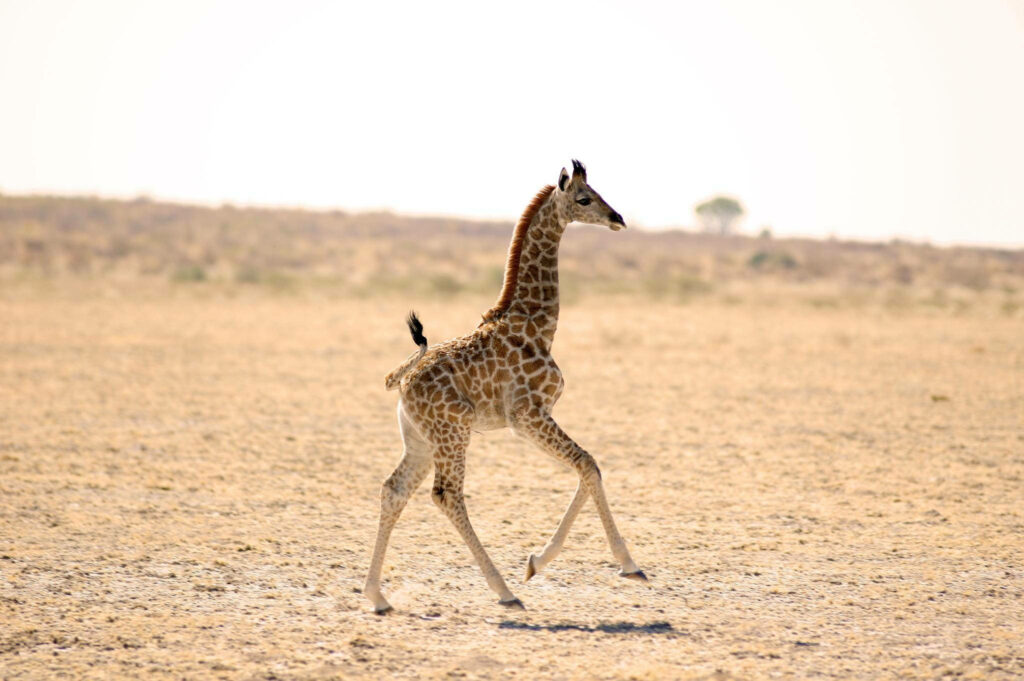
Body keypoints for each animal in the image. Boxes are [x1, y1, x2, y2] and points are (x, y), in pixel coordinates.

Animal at [363, 160, 646, 614]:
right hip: (454, 432)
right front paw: (626, 564)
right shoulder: (527, 415)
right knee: (447, 495)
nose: (617, 218)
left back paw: (377, 595)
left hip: (420, 439)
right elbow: (587, 464)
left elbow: (587, 467)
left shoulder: (532, 419)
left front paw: (537, 561)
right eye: (585, 198)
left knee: (394, 489)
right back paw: (504, 591)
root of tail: (401, 381)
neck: (537, 326)